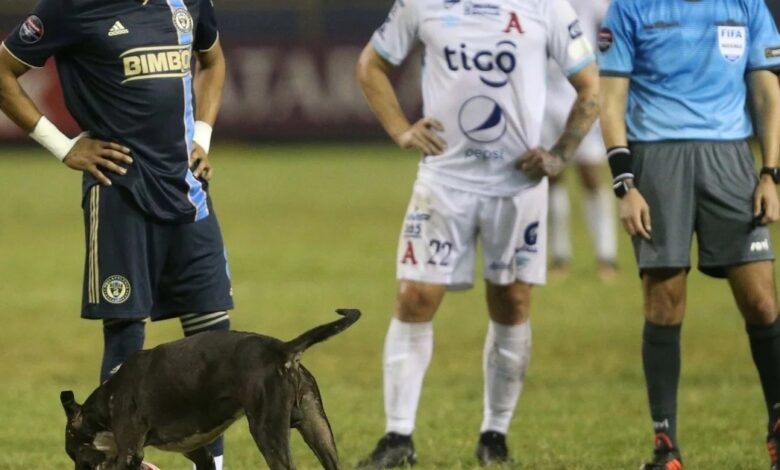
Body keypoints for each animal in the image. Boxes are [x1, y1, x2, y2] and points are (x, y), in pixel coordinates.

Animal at [61, 308, 362, 470]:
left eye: (76, 454)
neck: (106, 402)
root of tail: (283, 349)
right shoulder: (199, 452)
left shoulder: (129, 453)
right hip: (318, 429)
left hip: (268, 433)